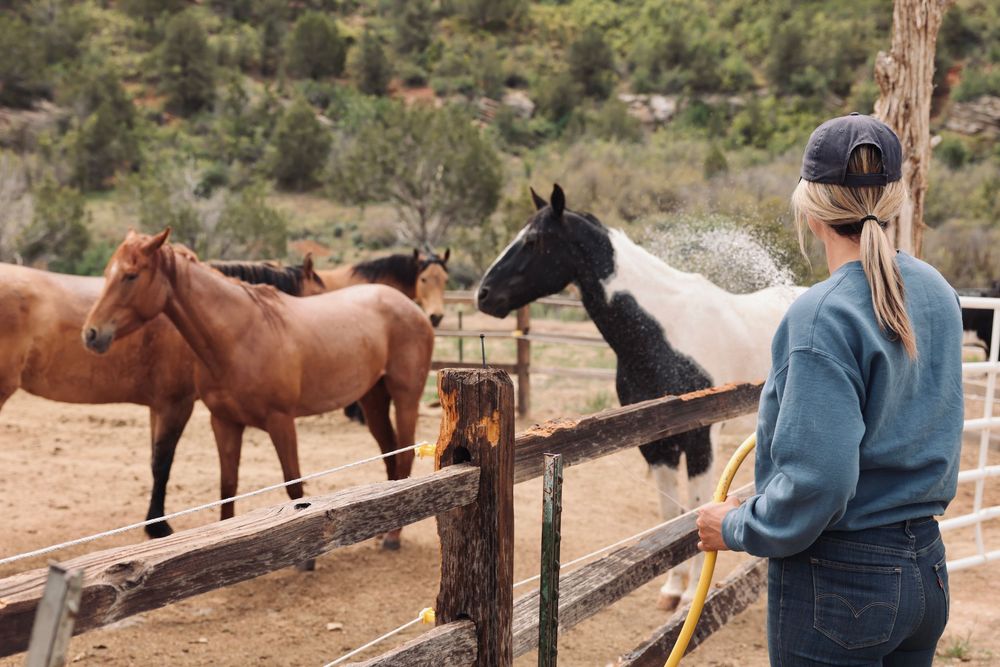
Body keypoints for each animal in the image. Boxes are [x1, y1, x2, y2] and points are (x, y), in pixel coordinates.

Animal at [83, 229, 435, 551]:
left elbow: (294, 487)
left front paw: (307, 560)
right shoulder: (224, 422)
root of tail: (413, 309)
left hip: (405, 398)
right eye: (107, 273)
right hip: (373, 399)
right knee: (390, 455)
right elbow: (228, 487)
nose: (91, 333)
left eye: (131, 275)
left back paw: (393, 537)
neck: (241, 335)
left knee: (404, 455)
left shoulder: (281, 421)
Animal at [475, 184, 802, 610]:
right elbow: (671, 514)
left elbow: (699, 509)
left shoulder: (701, 438)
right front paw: (673, 590)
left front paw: (694, 594)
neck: (664, 333)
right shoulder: (657, 443)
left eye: (532, 240)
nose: (483, 295)